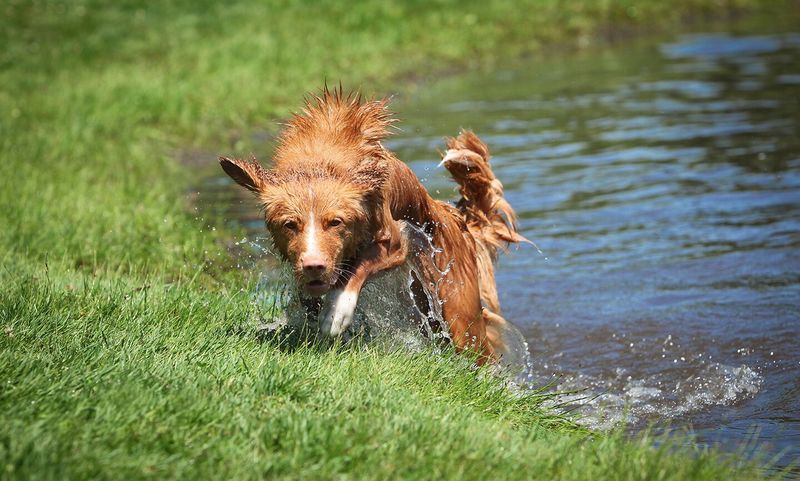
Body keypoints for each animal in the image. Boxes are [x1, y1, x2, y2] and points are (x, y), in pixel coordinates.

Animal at [222, 87, 528, 364]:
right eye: (289, 225)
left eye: (336, 222)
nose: (313, 266)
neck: (320, 164)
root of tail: (455, 218)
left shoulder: (395, 242)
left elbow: (358, 268)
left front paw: (337, 311)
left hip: (459, 314)